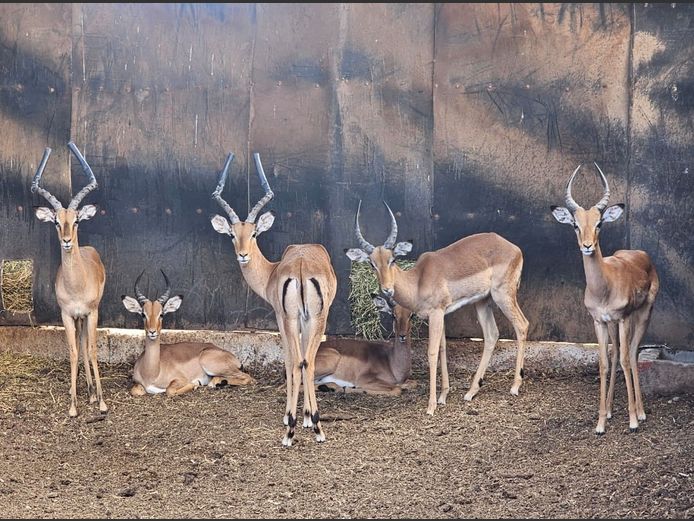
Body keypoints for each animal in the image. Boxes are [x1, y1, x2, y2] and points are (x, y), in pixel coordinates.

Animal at [31, 142, 107, 417]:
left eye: (76, 221)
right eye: (56, 221)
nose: (66, 241)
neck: (76, 285)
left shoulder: (92, 312)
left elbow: (92, 349)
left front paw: (103, 403)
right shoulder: (66, 314)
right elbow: (74, 351)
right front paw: (73, 405)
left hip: (86, 316)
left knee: (87, 345)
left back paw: (94, 394)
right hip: (77, 318)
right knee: (80, 345)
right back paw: (87, 391)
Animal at [121, 269, 255, 396]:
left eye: (162, 314)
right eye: (143, 314)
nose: (152, 332)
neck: (152, 372)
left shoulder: (180, 380)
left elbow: (169, 390)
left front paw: (195, 384)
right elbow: (135, 390)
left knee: (249, 378)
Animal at [210, 152, 337, 446]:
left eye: (254, 233)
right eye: (232, 234)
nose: (243, 255)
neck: (272, 270)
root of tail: (301, 265)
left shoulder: (284, 318)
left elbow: (290, 360)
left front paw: (295, 418)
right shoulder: (299, 320)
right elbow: (299, 360)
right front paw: (304, 417)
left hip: (302, 320)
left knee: (299, 361)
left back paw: (296, 429)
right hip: (313, 319)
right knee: (306, 361)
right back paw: (312, 428)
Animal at [346, 201, 529, 416]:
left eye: (393, 259)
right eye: (372, 263)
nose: (387, 289)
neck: (417, 280)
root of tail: (514, 248)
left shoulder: (436, 313)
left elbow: (432, 353)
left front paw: (431, 405)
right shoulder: (440, 314)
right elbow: (442, 349)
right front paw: (443, 397)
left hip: (503, 295)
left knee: (522, 325)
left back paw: (515, 386)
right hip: (482, 301)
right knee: (492, 334)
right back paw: (471, 391)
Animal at [551, 163, 659, 434]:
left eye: (599, 223)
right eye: (575, 225)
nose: (587, 246)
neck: (604, 287)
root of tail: (640, 254)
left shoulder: (623, 318)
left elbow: (625, 360)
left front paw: (632, 421)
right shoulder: (599, 321)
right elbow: (603, 362)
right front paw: (600, 422)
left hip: (643, 314)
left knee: (632, 352)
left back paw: (640, 412)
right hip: (613, 325)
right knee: (617, 353)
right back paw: (611, 410)